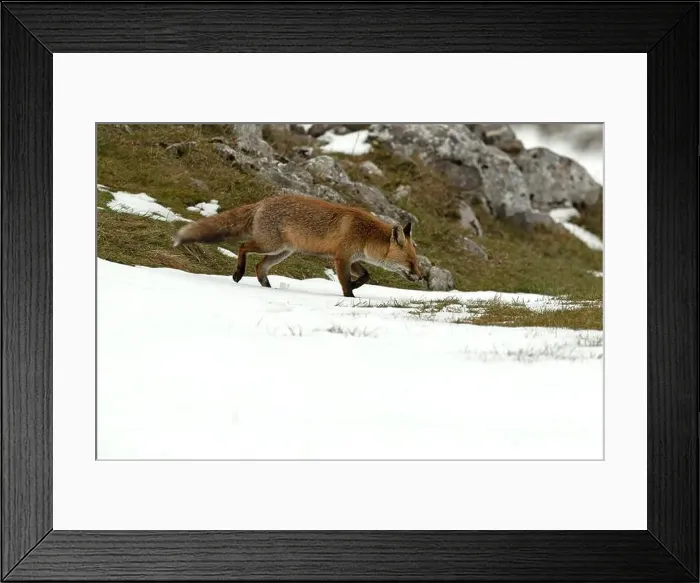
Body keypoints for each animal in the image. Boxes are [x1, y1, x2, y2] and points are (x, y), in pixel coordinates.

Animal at [172, 194, 424, 297]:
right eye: (410, 262)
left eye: (417, 262)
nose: (421, 277)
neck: (365, 235)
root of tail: (263, 201)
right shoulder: (341, 258)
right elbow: (345, 284)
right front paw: (350, 297)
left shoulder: (349, 258)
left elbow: (366, 276)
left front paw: (356, 285)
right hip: (269, 245)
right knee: (243, 247)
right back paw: (238, 274)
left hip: (282, 252)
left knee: (260, 267)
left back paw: (267, 287)